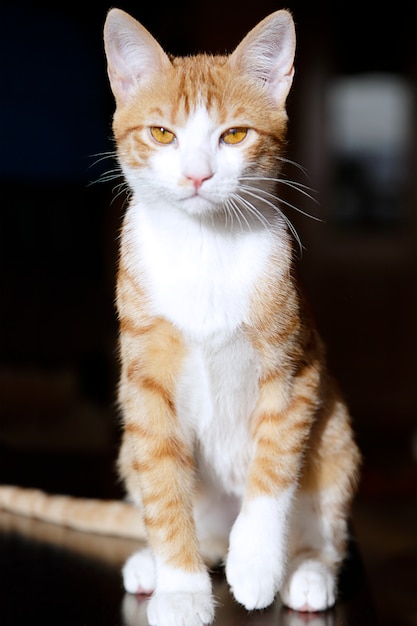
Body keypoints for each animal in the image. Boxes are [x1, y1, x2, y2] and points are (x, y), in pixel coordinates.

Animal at [0, 9, 360, 624]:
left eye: (234, 135)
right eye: (163, 134)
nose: (196, 175)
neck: (204, 247)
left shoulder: (295, 370)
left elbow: (274, 467)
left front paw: (256, 563)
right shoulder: (145, 382)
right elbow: (163, 484)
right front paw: (183, 588)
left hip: (334, 436)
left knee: (326, 531)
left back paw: (305, 570)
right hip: (129, 448)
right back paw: (156, 564)